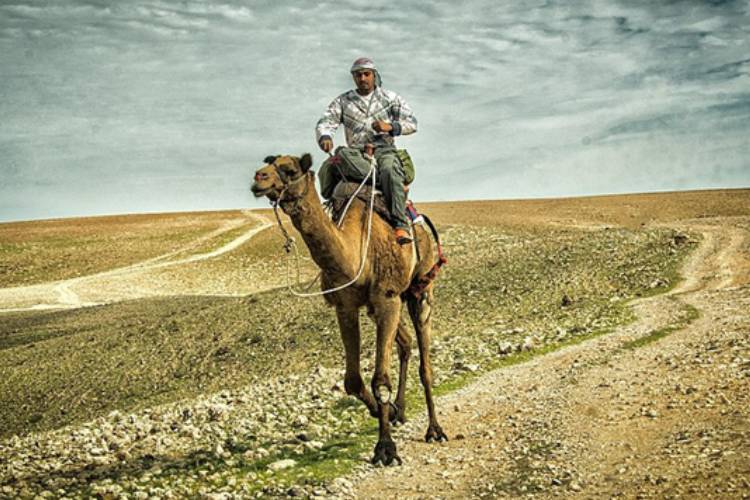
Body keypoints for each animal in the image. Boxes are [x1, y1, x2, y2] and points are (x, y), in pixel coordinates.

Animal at [250, 152, 450, 464]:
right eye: (269, 165)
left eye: (289, 169)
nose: (259, 178)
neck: (355, 252)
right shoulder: (346, 305)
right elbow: (353, 381)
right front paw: (387, 412)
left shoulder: (387, 297)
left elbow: (380, 379)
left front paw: (385, 449)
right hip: (382, 305)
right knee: (405, 343)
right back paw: (401, 410)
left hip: (420, 287)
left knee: (424, 361)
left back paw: (435, 429)